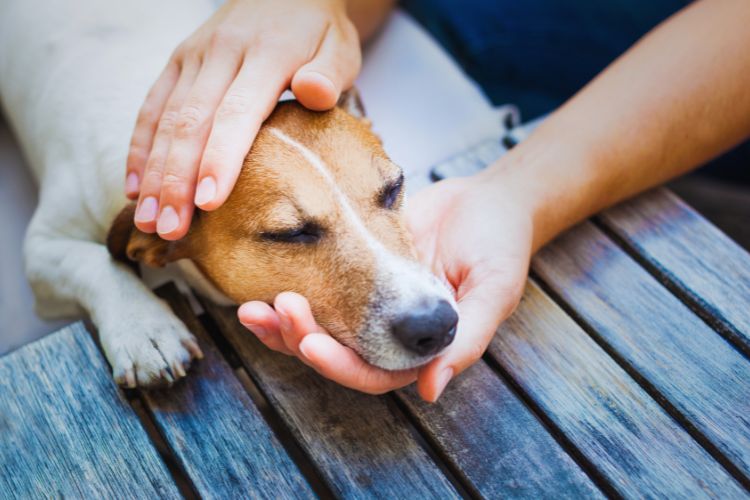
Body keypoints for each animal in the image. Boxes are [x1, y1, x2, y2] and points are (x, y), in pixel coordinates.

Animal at [0, 0, 462, 386]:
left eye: (394, 189)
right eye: (290, 234)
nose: (435, 324)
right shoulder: (42, 249)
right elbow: (94, 262)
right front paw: (144, 328)